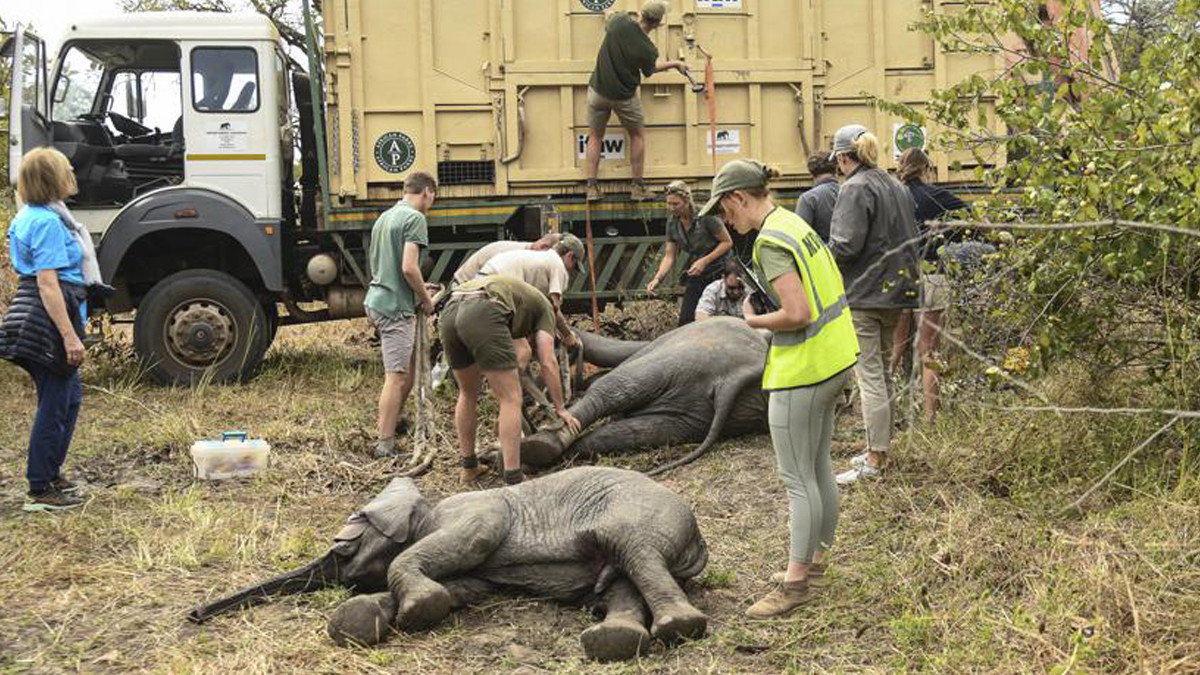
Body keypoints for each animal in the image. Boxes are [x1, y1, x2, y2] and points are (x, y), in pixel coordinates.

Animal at [188, 466, 705, 658]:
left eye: (341, 550)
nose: (193, 615)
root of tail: (697, 540)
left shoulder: (474, 512)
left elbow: (472, 540)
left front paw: (415, 611)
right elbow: (466, 586)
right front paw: (361, 620)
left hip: (640, 513)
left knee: (631, 550)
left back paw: (677, 628)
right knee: (617, 578)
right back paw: (614, 641)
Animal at [523, 319, 768, 473]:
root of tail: (729, 380)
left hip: (682, 361)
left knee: (611, 387)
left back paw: (538, 445)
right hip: (706, 415)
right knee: (638, 431)